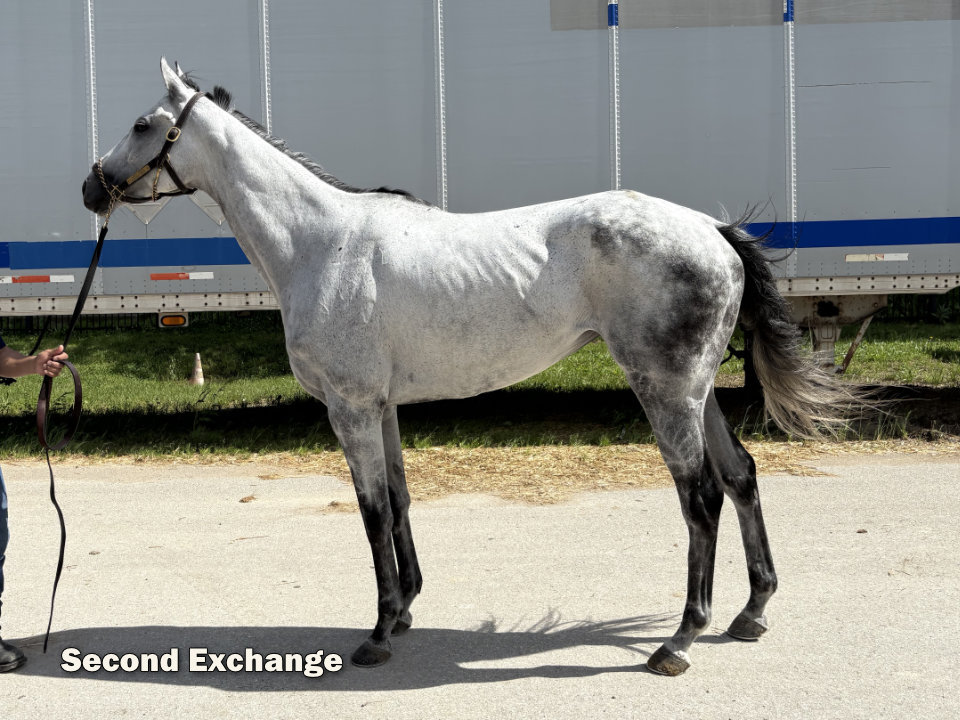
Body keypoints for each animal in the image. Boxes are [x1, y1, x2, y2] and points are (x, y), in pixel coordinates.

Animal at [83, 59, 854, 676]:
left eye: (143, 123)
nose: (93, 189)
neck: (319, 243)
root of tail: (714, 232)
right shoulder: (382, 407)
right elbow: (398, 501)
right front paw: (404, 611)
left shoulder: (350, 408)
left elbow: (370, 511)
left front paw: (377, 634)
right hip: (697, 392)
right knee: (742, 476)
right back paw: (751, 613)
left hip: (664, 392)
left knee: (702, 498)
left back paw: (680, 642)